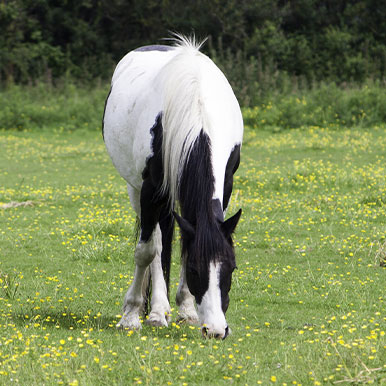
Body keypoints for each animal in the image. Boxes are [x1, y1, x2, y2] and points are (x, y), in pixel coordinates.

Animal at [101, 34, 243, 340]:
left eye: (232, 267)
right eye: (194, 270)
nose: (216, 330)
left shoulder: (226, 184)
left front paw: (187, 310)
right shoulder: (151, 189)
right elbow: (146, 251)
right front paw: (132, 315)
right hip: (137, 190)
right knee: (155, 242)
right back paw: (155, 310)